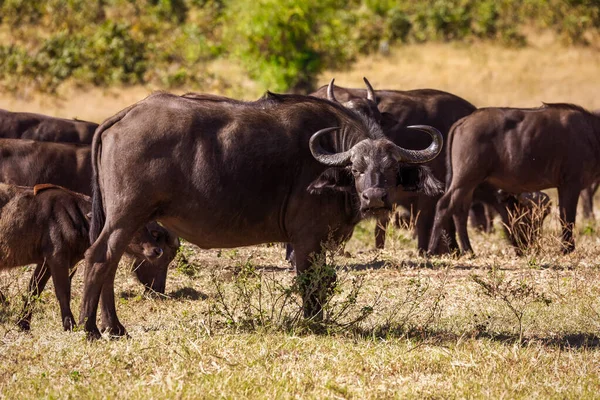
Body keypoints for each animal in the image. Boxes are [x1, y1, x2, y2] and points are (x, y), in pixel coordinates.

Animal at [0, 183, 173, 330]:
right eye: (135, 228)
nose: (157, 250)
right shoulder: (57, 258)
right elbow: (63, 291)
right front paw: (70, 325)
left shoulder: (45, 263)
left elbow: (34, 290)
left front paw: (23, 324)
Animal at [79, 86, 442, 338]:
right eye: (356, 168)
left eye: (392, 168)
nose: (375, 197)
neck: (329, 158)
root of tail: (126, 114)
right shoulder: (306, 239)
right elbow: (310, 282)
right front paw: (312, 323)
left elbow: (324, 280)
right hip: (126, 215)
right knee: (99, 258)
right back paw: (90, 328)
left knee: (110, 263)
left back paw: (113, 327)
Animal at [428, 102, 596, 253]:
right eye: (531, 217)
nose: (531, 245)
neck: (591, 132)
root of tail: (464, 121)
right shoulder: (570, 184)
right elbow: (567, 217)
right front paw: (566, 249)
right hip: (465, 178)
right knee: (444, 205)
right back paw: (432, 249)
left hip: (468, 184)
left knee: (460, 210)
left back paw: (468, 250)